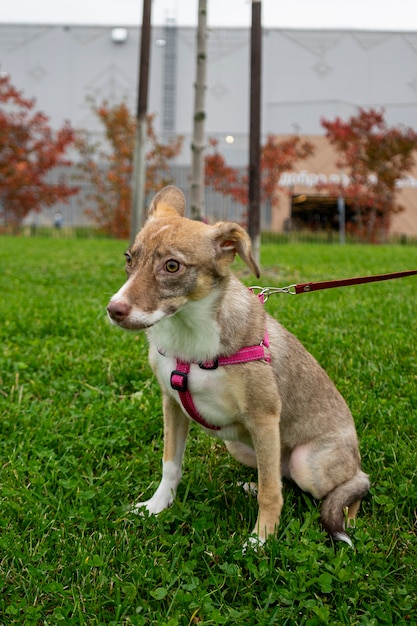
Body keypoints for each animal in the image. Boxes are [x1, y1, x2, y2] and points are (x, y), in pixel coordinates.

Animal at [106, 184, 368, 540]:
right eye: (129, 258)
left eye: (172, 266)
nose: (113, 310)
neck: (190, 336)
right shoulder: (172, 405)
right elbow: (170, 464)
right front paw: (156, 507)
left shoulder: (264, 417)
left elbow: (272, 495)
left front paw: (261, 540)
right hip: (241, 446)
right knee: (279, 476)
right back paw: (251, 485)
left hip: (307, 462)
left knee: (350, 484)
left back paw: (346, 519)